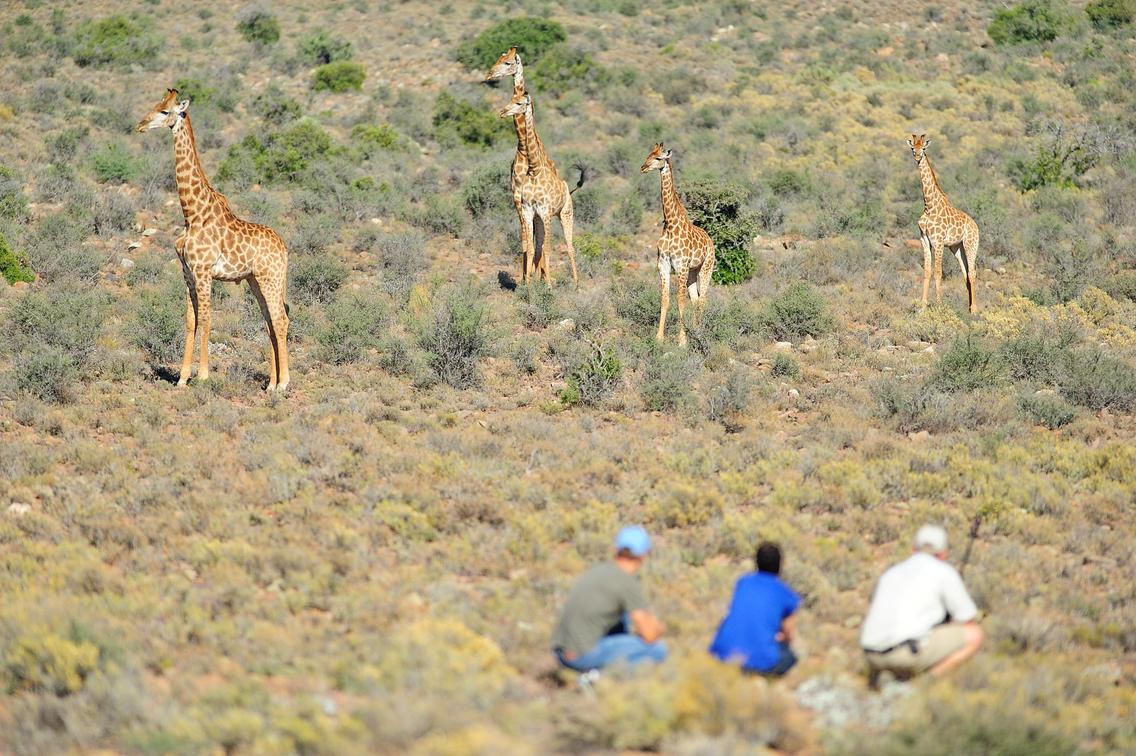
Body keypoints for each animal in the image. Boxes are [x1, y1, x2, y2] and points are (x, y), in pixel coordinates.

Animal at [136, 89, 290, 391]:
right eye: (156, 105)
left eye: (165, 111)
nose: (141, 125)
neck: (192, 213)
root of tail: (285, 250)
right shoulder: (187, 272)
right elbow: (190, 320)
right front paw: (183, 378)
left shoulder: (204, 271)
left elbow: (206, 319)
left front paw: (204, 375)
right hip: (256, 280)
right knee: (270, 321)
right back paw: (270, 385)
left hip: (271, 278)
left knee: (280, 320)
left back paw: (284, 384)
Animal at [499, 89, 586, 288]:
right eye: (511, 99)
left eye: (520, 103)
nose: (502, 112)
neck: (534, 169)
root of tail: (568, 190)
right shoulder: (529, 210)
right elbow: (531, 248)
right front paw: (529, 285)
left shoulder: (546, 211)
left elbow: (547, 248)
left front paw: (548, 286)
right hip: (540, 219)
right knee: (539, 246)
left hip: (565, 214)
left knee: (569, 247)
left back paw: (576, 283)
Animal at [640, 143, 717, 345]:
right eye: (648, 154)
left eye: (659, 158)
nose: (643, 167)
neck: (670, 224)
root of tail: (710, 239)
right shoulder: (664, 265)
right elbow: (665, 298)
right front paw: (659, 337)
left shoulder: (681, 265)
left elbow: (680, 300)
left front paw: (682, 340)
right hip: (693, 272)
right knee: (696, 299)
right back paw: (695, 328)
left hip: (706, 268)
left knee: (703, 298)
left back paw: (699, 332)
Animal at [904, 132, 976, 311]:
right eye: (912, 148)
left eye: (923, 148)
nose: (917, 156)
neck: (929, 206)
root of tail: (976, 226)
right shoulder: (924, 240)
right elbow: (927, 271)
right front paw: (922, 306)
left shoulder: (938, 241)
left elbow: (938, 272)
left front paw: (938, 304)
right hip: (956, 247)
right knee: (965, 273)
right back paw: (968, 308)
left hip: (971, 244)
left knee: (972, 272)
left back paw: (974, 309)